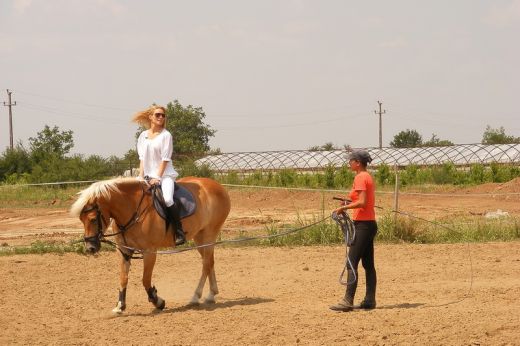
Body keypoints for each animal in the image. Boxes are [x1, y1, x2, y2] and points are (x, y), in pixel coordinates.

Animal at [70, 177, 230, 312]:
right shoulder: (124, 251)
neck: (132, 210)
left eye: (93, 219)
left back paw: (196, 297)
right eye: (81, 219)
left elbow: (145, 280)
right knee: (209, 262)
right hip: (199, 237)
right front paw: (120, 306)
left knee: (206, 263)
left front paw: (158, 301)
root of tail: (217, 186)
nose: (90, 248)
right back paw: (211, 295)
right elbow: (123, 278)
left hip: (209, 234)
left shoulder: (149, 252)